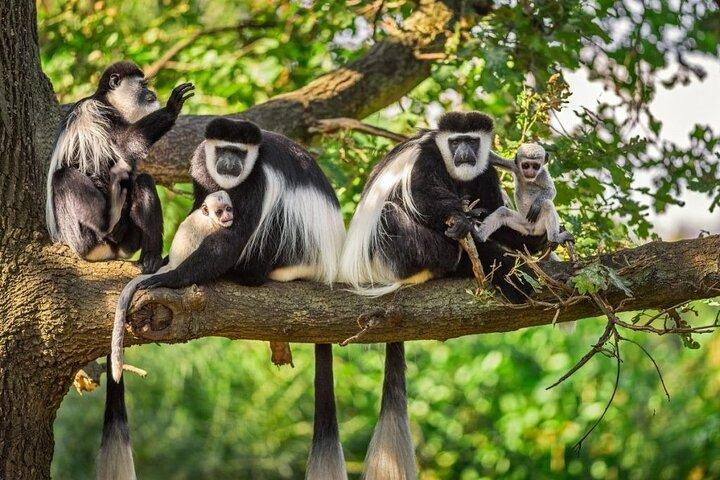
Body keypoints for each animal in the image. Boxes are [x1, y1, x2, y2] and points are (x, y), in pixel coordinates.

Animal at [45, 61, 194, 273]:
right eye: (143, 85)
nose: (152, 92)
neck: (109, 102)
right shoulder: (97, 111)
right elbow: (125, 143)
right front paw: (172, 107)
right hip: (77, 234)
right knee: (64, 177)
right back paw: (105, 230)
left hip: (128, 242)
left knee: (143, 181)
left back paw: (150, 259)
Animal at [339, 111, 550, 479]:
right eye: (455, 142)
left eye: (472, 141)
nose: (464, 152)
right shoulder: (426, 159)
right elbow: (424, 199)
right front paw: (466, 224)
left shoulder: (485, 170)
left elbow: (493, 208)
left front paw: (528, 237)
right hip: (390, 254)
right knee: (394, 215)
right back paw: (468, 258)